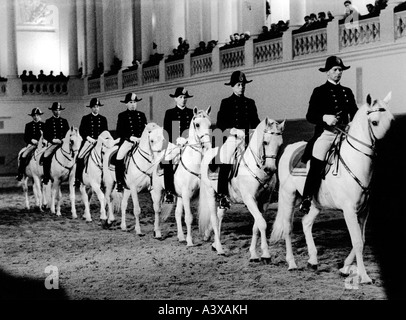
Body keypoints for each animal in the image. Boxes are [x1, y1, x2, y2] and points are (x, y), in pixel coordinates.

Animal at [198, 117, 284, 260]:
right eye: (265, 142)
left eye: (280, 144)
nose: (270, 169)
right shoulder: (249, 199)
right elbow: (262, 223)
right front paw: (266, 254)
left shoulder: (265, 201)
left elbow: (256, 225)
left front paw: (254, 253)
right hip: (210, 192)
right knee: (214, 219)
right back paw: (220, 249)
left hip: (224, 198)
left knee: (220, 215)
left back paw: (215, 244)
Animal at [272, 92, 394, 282]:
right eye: (374, 122)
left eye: (392, 120)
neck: (355, 160)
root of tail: (289, 148)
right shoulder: (349, 210)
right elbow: (357, 242)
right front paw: (364, 276)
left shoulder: (364, 210)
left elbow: (362, 240)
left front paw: (345, 268)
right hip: (288, 196)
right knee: (288, 228)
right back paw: (292, 263)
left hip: (315, 203)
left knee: (306, 223)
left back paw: (313, 260)